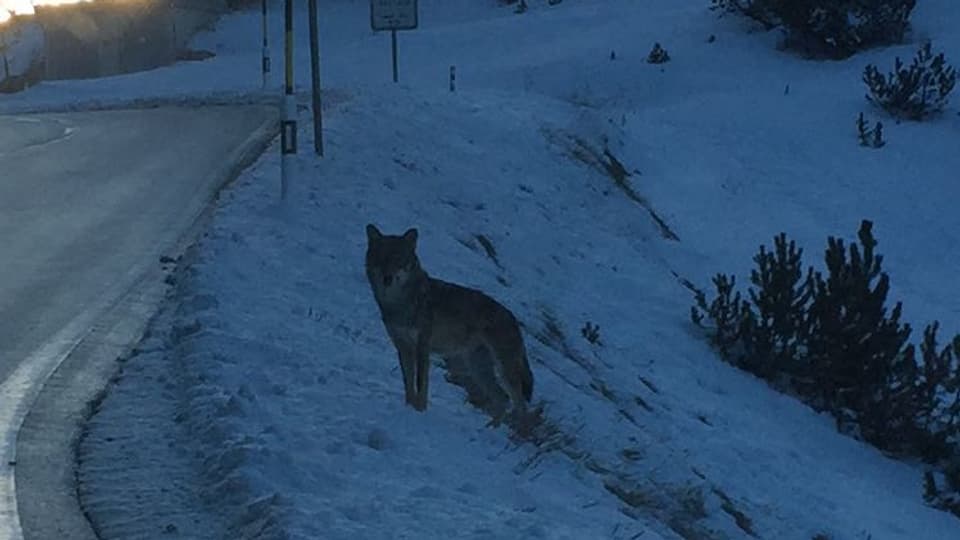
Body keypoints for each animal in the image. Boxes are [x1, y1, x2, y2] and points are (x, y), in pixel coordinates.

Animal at [366, 224, 536, 422]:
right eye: (381, 258)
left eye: (399, 259)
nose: (387, 278)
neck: (400, 303)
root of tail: (514, 319)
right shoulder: (402, 347)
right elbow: (408, 383)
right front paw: (408, 409)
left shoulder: (422, 347)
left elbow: (420, 384)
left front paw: (419, 412)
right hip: (478, 368)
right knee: (502, 399)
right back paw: (488, 427)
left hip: (503, 370)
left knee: (519, 404)